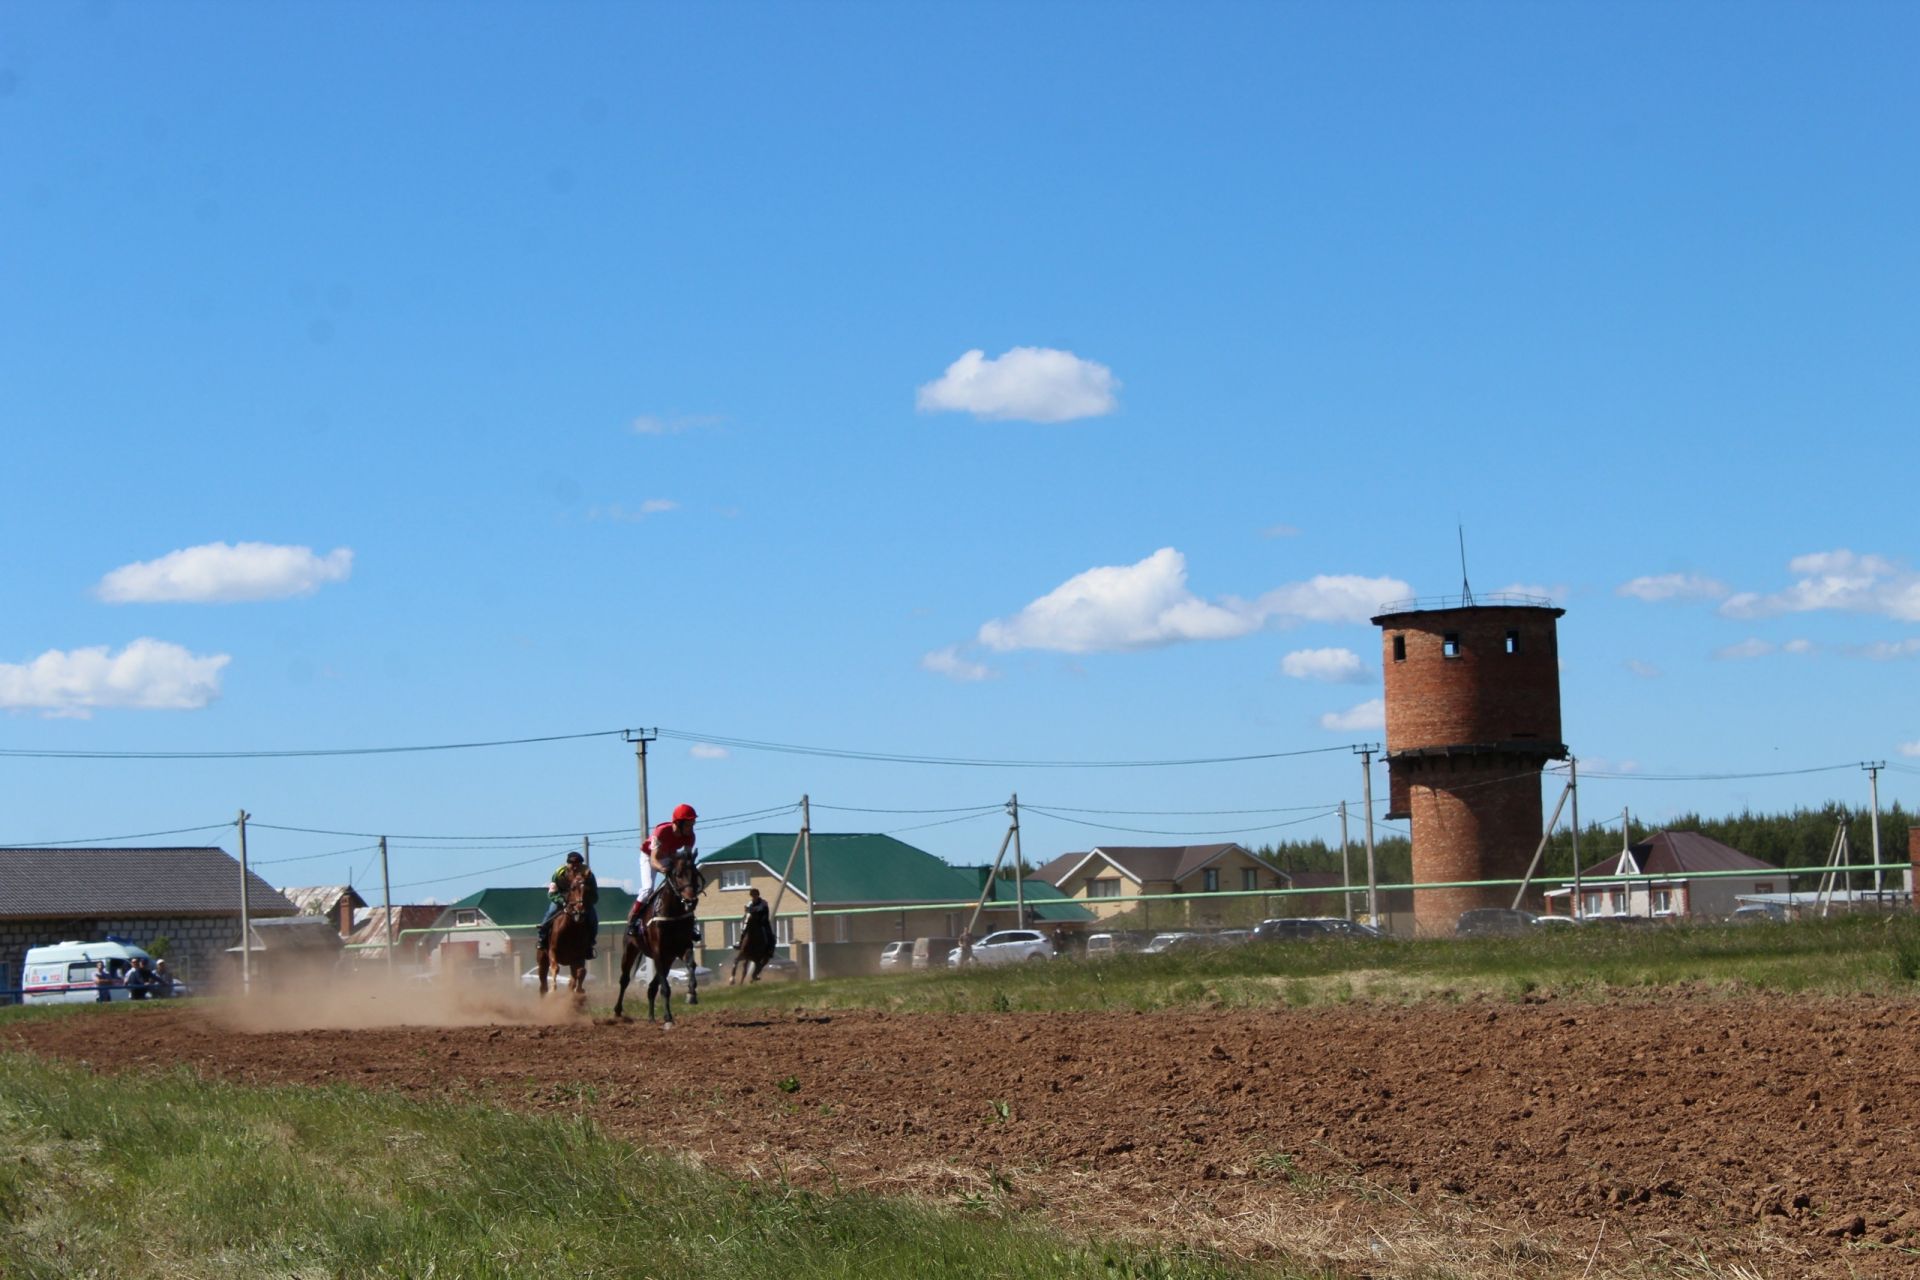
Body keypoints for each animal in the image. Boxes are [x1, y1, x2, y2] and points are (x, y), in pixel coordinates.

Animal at [537, 875, 587, 1005]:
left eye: (587, 889)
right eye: (573, 888)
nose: (580, 911)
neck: (568, 929)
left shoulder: (579, 956)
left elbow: (581, 971)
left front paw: (579, 991)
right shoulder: (552, 951)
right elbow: (555, 968)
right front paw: (553, 991)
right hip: (542, 960)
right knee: (542, 983)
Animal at [614, 855, 706, 1028]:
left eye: (695, 873)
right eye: (677, 874)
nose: (691, 901)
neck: (672, 911)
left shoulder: (683, 946)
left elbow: (691, 964)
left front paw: (691, 994)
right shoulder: (658, 951)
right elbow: (665, 987)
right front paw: (668, 1017)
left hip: (669, 958)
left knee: (651, 987)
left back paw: (651, 1017)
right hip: (630, 950)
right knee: (624, 980)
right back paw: (617, 1011)